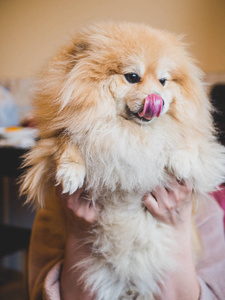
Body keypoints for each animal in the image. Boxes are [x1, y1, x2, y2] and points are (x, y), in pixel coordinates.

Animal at [20, 22, 225, 298]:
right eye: (132, 77)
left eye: (163, 81)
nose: (158, 99)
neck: (130, 132)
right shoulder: (63, 131)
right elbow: (68, 140)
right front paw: (71, 171)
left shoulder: (194, 138)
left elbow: (188, 138)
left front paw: (182, 160)